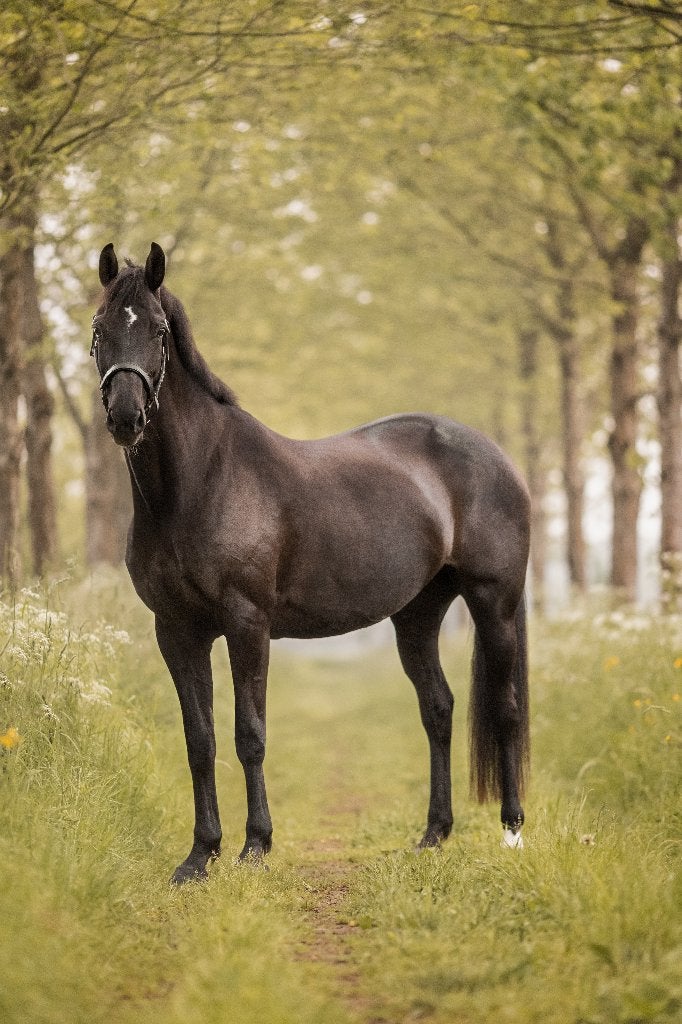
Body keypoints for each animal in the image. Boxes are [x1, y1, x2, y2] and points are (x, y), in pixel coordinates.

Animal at [91, 242, 531, 884]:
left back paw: (512, 832)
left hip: (494, 603)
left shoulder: (247, 624)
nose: (126, 417)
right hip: (418, 615)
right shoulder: (176, 631)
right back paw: (433, 834)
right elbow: (200, 740)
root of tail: (498, 458)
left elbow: (249, 733)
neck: (196, 485)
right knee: (439, 709)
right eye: (99, 328)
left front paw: (255, 846)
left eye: (159, 330)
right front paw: (199, 856)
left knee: (505, 708)